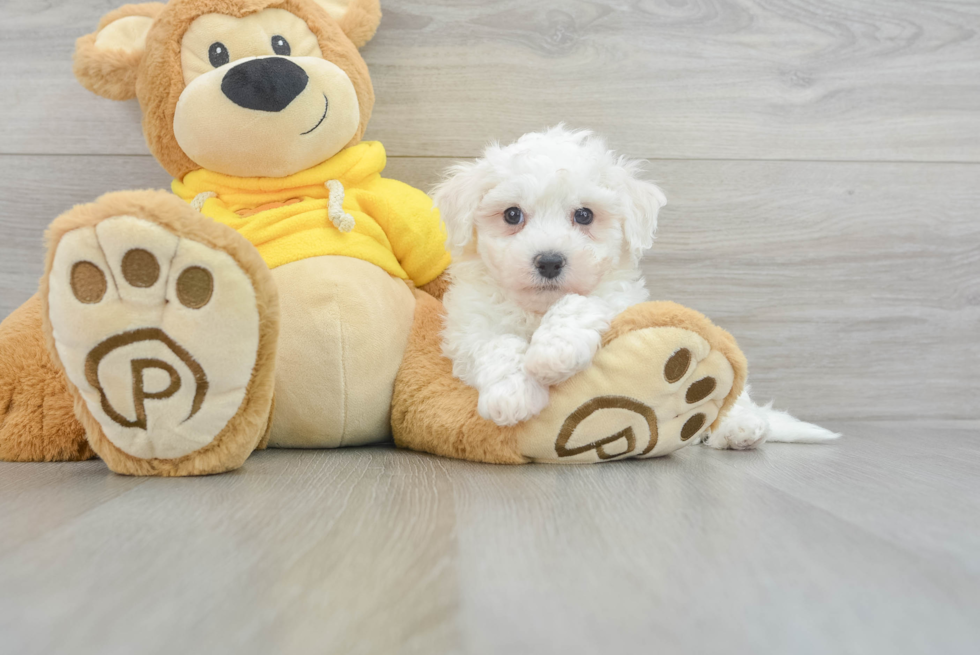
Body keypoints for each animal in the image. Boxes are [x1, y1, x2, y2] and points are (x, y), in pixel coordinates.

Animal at [432, 125, 840, 448]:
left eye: (584, 215)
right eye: (512, 215)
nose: (549, 261)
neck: (538, 309)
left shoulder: (619, 300)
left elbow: (580, 304)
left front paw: (553, 354)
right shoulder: (469, 324)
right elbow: (496, 345)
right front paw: (512, 395)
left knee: (737, 399)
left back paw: (740, 427)